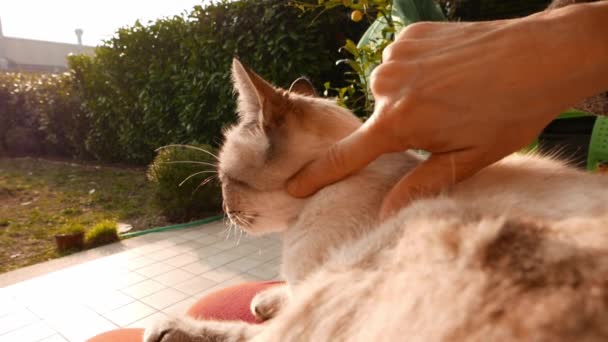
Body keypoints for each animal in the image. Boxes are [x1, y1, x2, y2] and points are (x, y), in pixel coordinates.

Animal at [145, 54, 608, 340]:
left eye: (225, 181)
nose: (225, 209)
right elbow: (285, 290)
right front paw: (266, 299)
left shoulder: (320, 276)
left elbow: (286, 303)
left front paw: (264, 303)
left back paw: (167, 330)